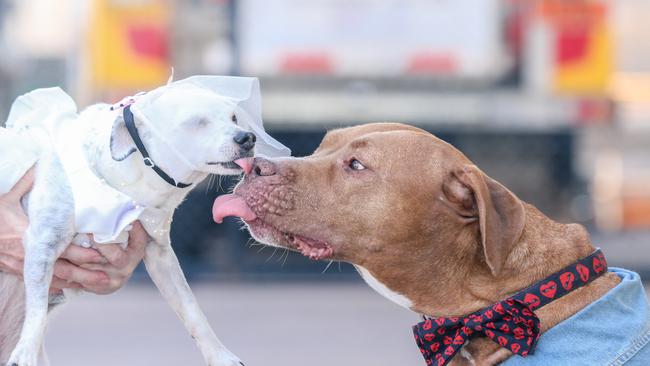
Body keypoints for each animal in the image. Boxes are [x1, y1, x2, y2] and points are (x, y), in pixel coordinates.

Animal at [1, 75, 286, 366]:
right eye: (197, 122)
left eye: (234, 118)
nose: (247, 137)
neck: (124, 183)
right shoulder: (43, 244)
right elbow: (36, 310)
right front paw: (24, 353)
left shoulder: (161, 256)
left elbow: (192, 310)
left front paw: (219, 356)